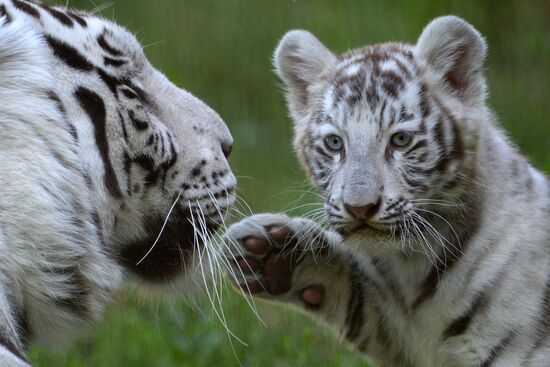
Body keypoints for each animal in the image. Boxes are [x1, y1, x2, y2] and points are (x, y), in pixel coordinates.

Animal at [227, 16, 550, 366]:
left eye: (400, 140)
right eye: (335, 143)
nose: (360, 208)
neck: (413, 268)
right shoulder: (402, 337)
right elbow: (361, 300)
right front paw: (270, 253)